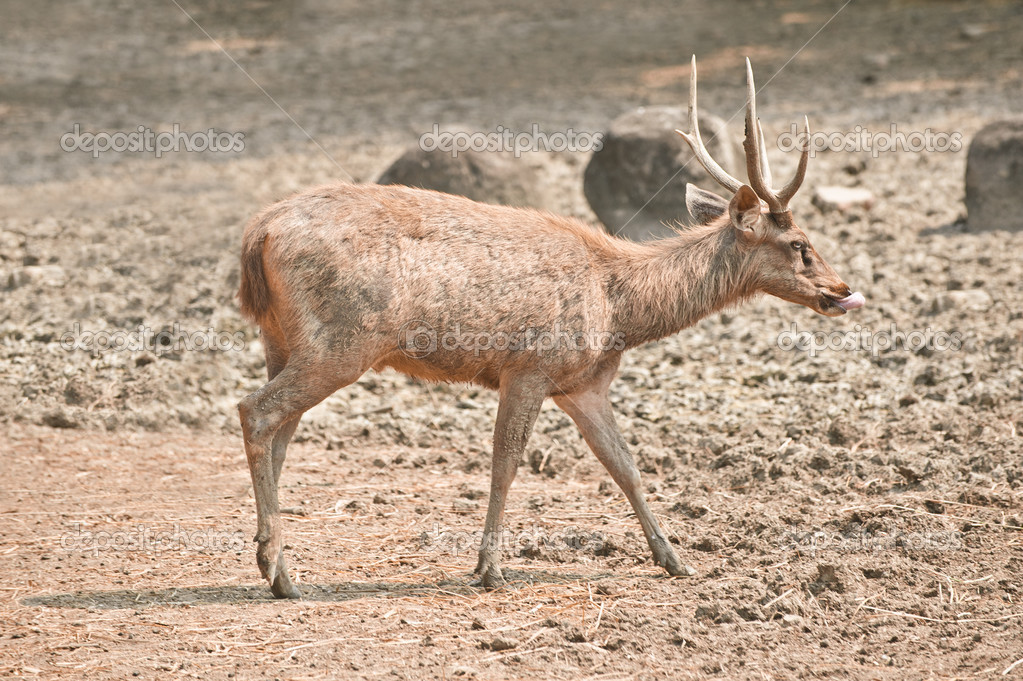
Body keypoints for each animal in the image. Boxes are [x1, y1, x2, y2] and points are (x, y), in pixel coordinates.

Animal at [236, 57, 864, 598]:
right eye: (799, 244)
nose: (841, 289)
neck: (619, 309)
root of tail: (257, 234)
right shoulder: (530, 366)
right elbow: (506, 461)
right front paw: (489, 569)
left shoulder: (582, 384)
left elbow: (625, 465)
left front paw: (676, 559)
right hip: (343, 341)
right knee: (256, 411)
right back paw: (280, 572)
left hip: (283, 338)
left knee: (281, 431)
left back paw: (276, 565)